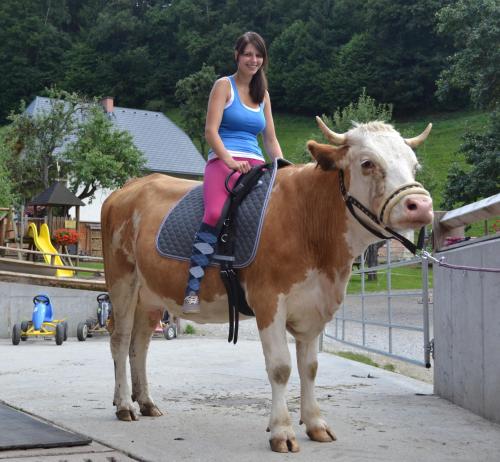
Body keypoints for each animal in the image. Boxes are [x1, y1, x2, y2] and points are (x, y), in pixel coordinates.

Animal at [101, 117, 434, 452]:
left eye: (415, 165)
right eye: (367, 163)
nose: (420, 205)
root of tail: (131, 186)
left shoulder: (314, 305)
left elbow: (310, 367)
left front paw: (315, 423)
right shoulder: (269, 300)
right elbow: (281, 367)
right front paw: (282, 431)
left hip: (151, 295)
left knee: (140, 344)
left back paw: (145, 402)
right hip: (122, 282)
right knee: (121, 339)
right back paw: (124, 405)